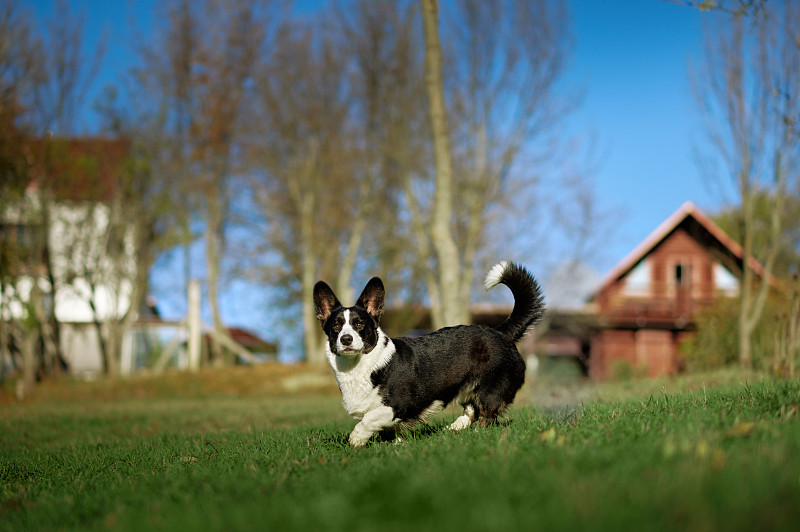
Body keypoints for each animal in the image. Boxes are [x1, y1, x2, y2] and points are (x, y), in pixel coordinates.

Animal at [312, 260, 544, 446]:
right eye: (335, 326)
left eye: (359, 324)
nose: (346, 339)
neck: (360, 365)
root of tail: (501, 332)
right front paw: (396, 445)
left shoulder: (397, 405)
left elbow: (369, 419)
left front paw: (356, 440)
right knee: (471, 410)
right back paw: (453, 429)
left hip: (491, 391)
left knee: (485, 416)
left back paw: (475, 434)